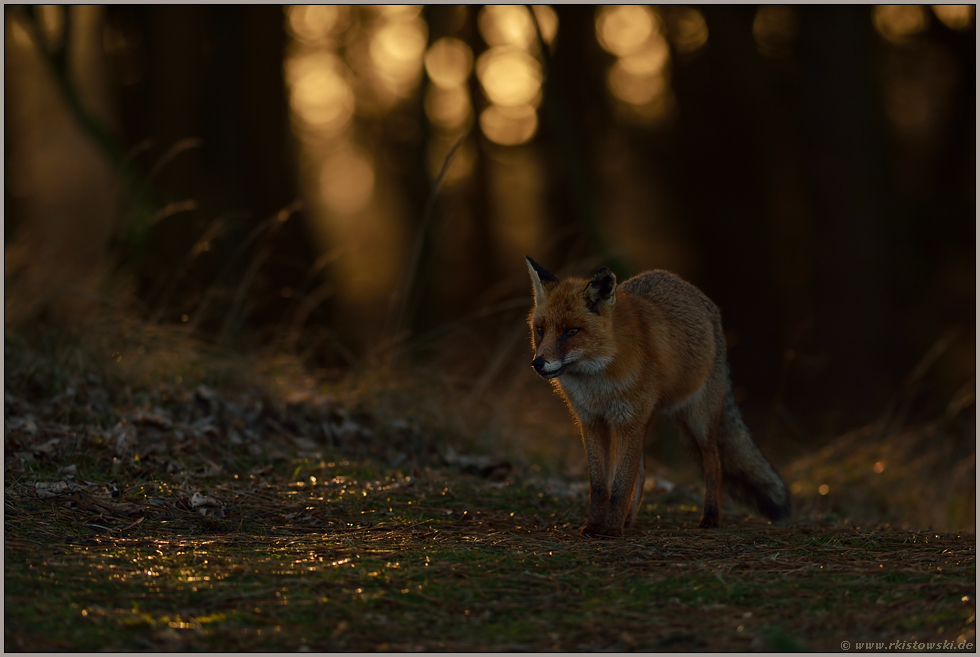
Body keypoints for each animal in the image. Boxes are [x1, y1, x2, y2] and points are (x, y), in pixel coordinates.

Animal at [524, 254, 792, 536]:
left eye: (571, 331)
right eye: (540, 330)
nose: (538, 363)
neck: (598, 382)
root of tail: (694, 292)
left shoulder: (628, 422)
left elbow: (620, 487)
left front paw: (611, 531)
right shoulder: (593, 422)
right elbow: (600, 486)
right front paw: (596, 526)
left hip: (698, 421)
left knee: (714, 462)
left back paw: (710, 516)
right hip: (647, 421)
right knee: (642, 471)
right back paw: (629, 520)